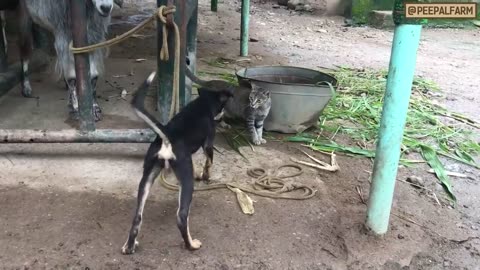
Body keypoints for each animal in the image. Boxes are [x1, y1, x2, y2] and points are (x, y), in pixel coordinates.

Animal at [122, 71, 234, 253]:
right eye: (223, 107)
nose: (224, 118)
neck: (202, 103)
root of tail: (167, 136)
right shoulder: (208, 144)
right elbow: (209, 162)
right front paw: (205, 176)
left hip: (148, 175)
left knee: (137, 216)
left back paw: (130, 246)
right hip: (185, 177)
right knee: (181, 217)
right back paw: (191, 245)